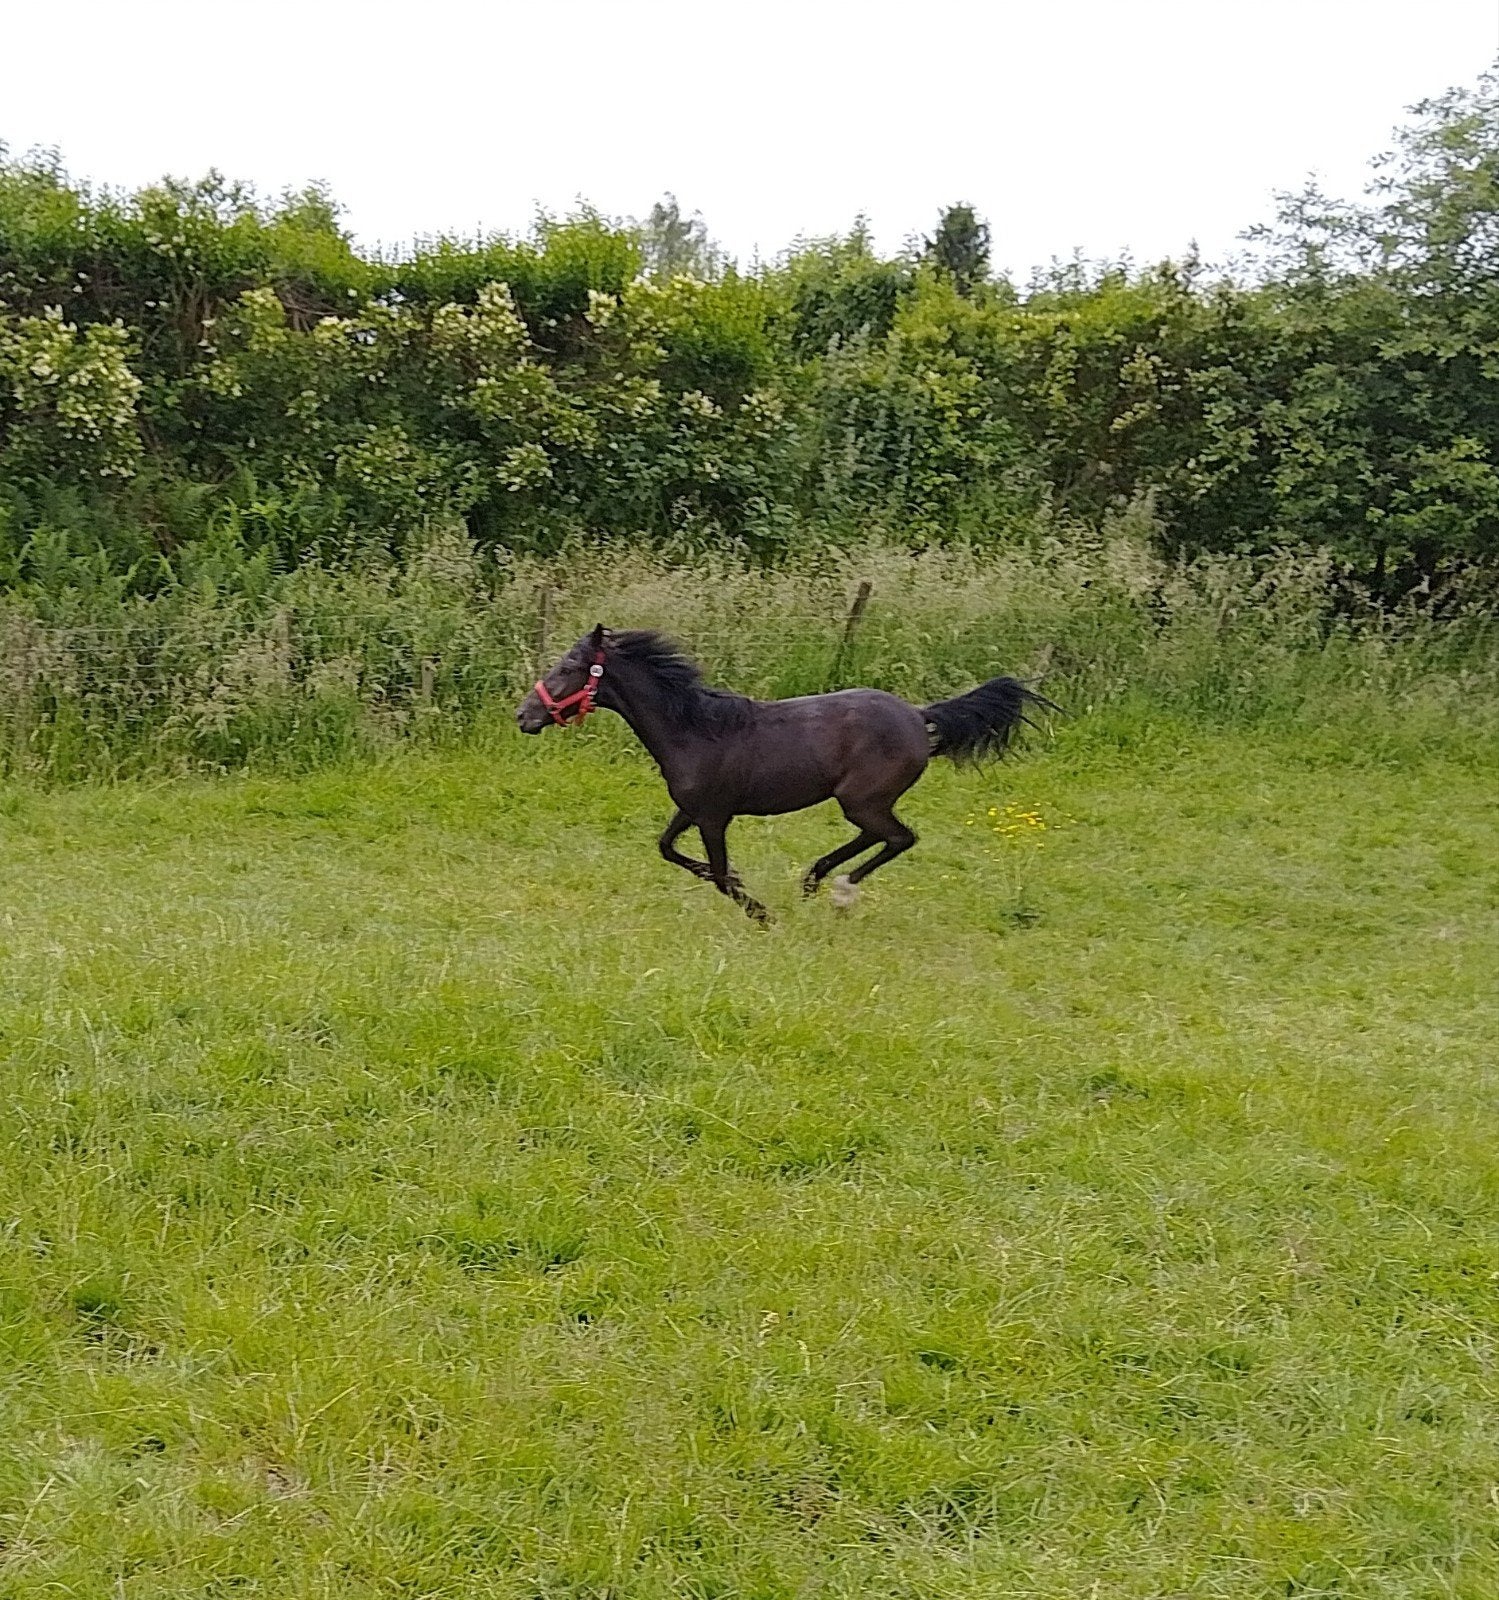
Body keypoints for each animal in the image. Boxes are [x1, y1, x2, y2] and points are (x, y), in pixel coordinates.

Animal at [516, 625, 1053, 923]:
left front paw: (760, 913)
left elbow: (715, 873)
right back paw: (813, 881)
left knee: (900, 838)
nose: (523, 716)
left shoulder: (714, 817)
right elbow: (669, 849)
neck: (693, 729)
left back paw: (840, 892)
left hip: (863, 799)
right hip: (862, 801)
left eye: (567, 667)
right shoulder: (691, 810)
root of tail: (920, 717)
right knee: (878, 837)